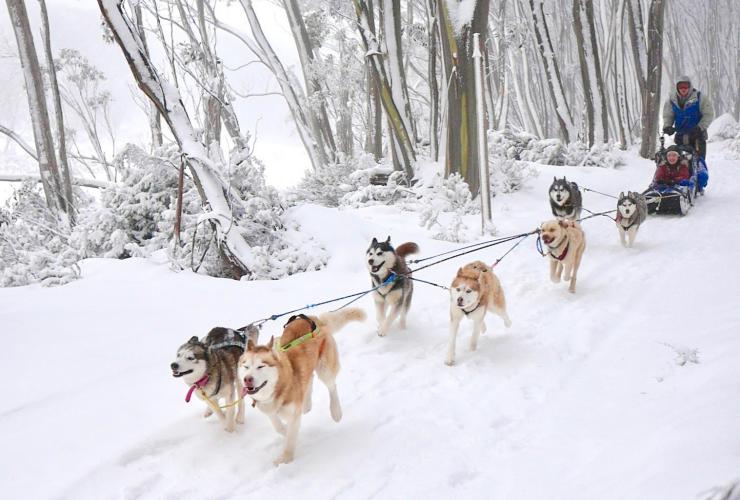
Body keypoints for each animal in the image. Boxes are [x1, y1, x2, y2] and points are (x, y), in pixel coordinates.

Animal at [237, 306, 364, 466]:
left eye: (260, 366)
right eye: (246, 367)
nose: (247, 379)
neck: (279, 387)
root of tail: (315, 319)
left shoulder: (292, 414)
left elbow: (290, 438)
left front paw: (285, 460)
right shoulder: (270, 411)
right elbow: (278, 426)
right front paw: (284, 430)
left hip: (325, 369)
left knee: (331, 386)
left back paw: (335, 411)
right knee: (309, 379)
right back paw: (306, 404)